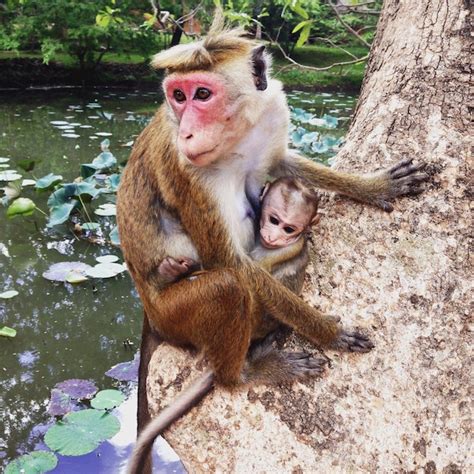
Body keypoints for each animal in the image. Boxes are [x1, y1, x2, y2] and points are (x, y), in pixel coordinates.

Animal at [116, 12, 428, 472]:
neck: (238, 133)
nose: (187, 133)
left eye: (201, 94)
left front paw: (372, 186)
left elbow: (282, 165)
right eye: (177, 96)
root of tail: (150, 314)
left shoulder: (272, 113)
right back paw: (244, 373)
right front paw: (326, 332)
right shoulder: (184, 170)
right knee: (227, 288)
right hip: (175, 316)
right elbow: (229, 263)